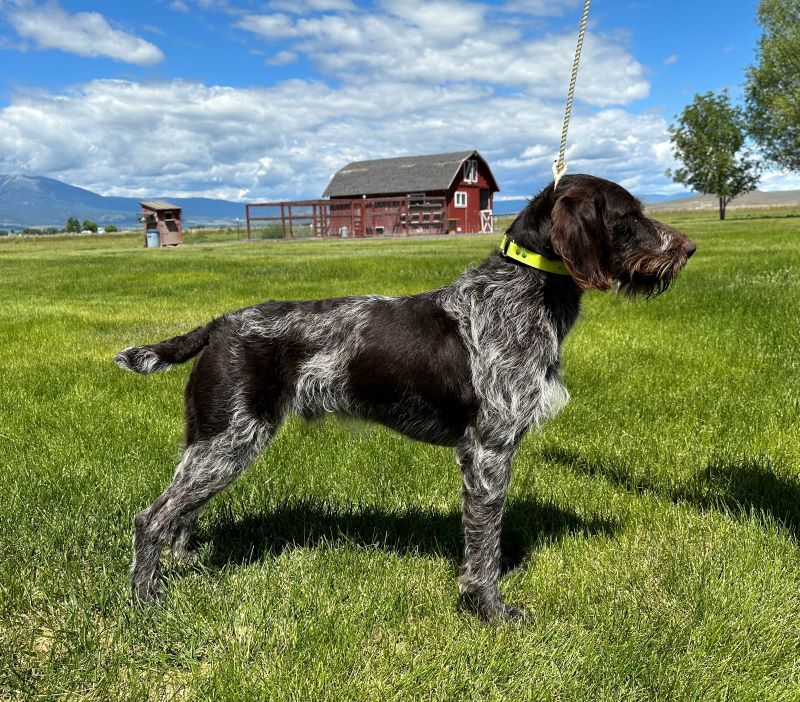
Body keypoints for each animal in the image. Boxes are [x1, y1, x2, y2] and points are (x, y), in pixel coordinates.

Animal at [115, 175, 696, 620]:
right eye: (629, 215)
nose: (689, 248)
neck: (525, 288)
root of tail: (219, 325)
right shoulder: (488, 451)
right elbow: (484, 546)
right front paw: (490, 610)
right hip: (228, 441)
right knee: (152, 519)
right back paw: (147, 596)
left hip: (214, 443)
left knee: (182, 514)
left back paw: (184, 567)